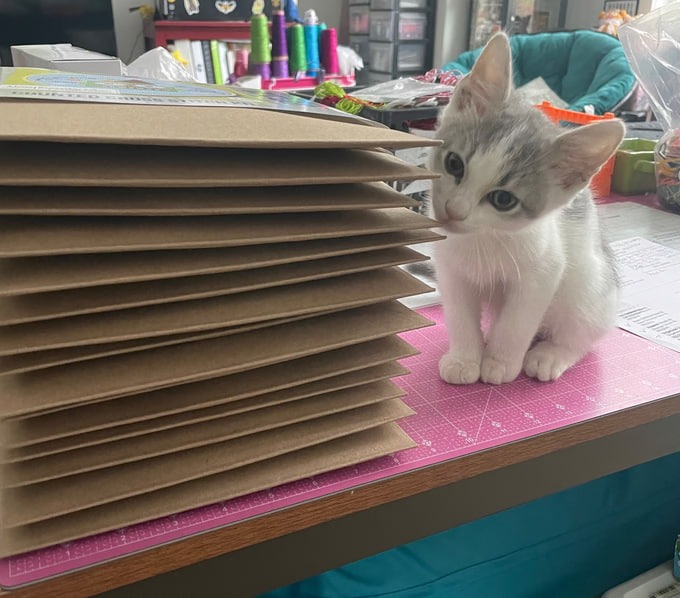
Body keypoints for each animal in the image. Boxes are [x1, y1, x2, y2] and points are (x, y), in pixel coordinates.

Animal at [429, 32, 625, 385]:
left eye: (503, 200)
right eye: (454, 164)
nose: (454, 210)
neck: (484, 238)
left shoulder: (543, 271)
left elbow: (517, 321)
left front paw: (499, 362)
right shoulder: (450, 268)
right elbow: (459, 312)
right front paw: (465, 358)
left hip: (590, 288)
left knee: (582, 334)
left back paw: (551, 354)